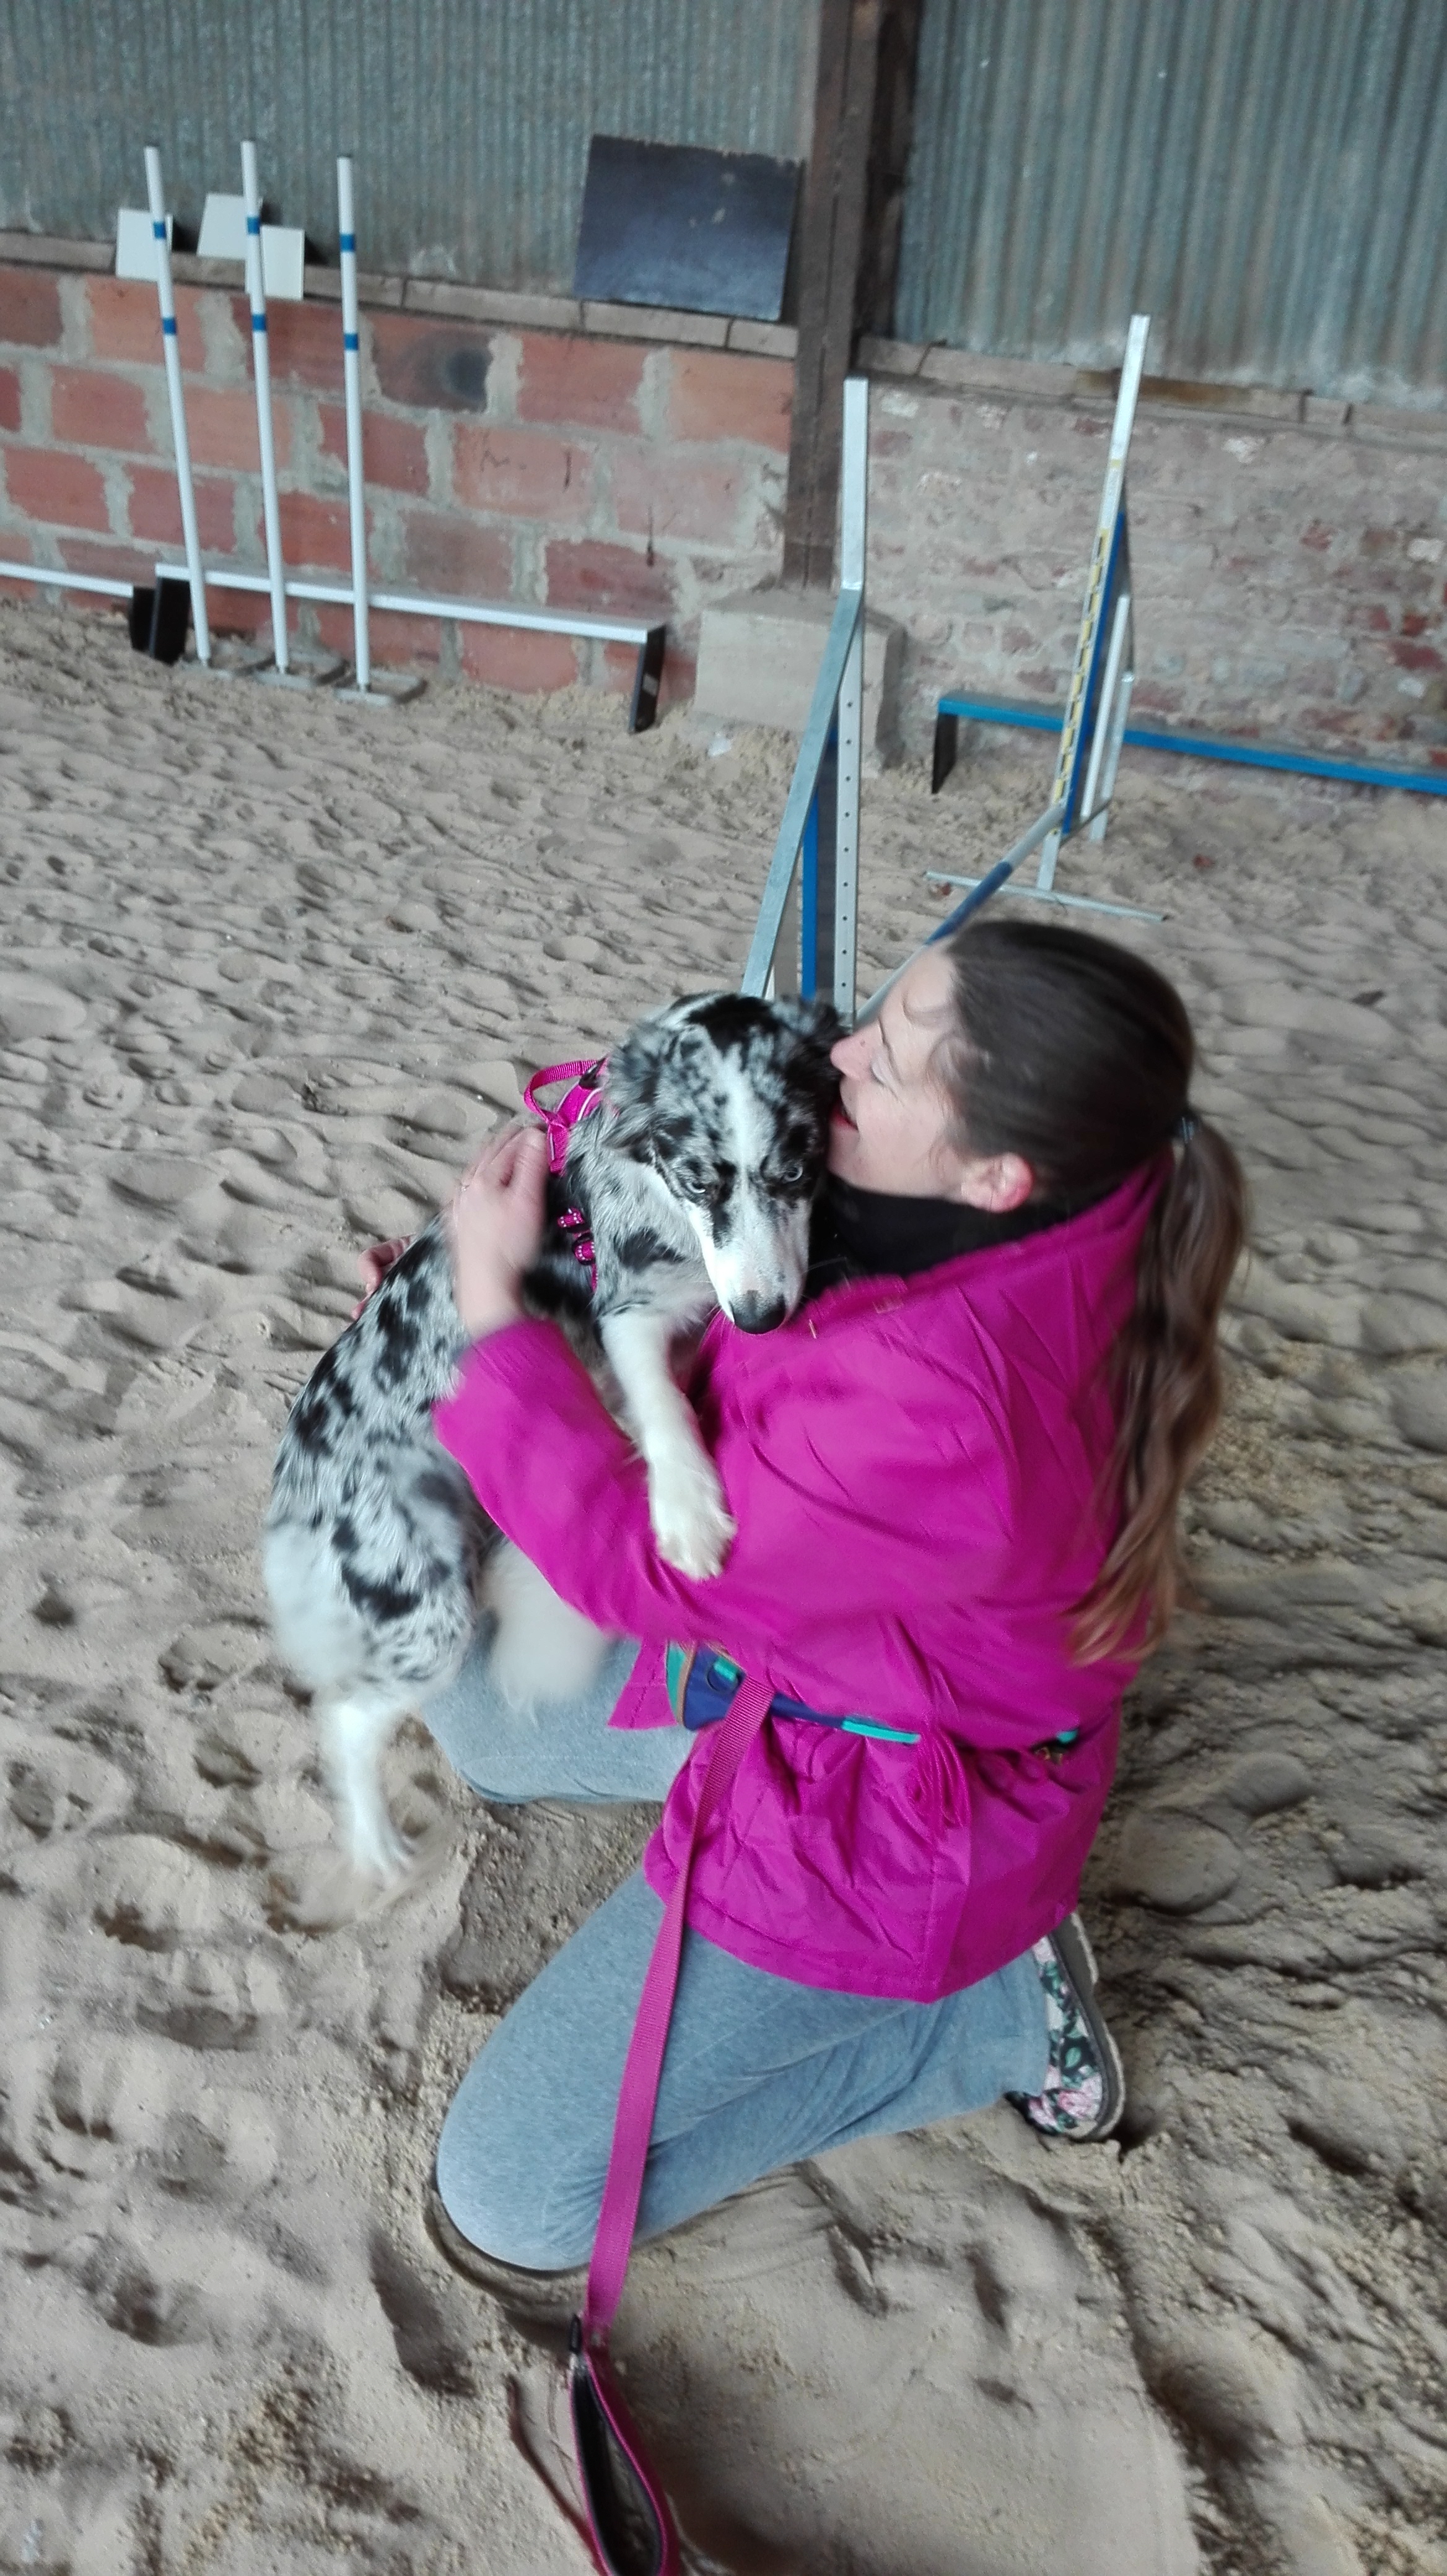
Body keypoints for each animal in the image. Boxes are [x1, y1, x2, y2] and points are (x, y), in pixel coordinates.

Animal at [264, 990, 840, 1880]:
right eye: (695, 1181)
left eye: (796, 1171)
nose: (760, 1318)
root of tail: (299, 1480)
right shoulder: (627, 1311)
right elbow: (663, 1408)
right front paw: (688, 1513)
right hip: (427, 1607)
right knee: (347, 1716)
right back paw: (380, 1847)